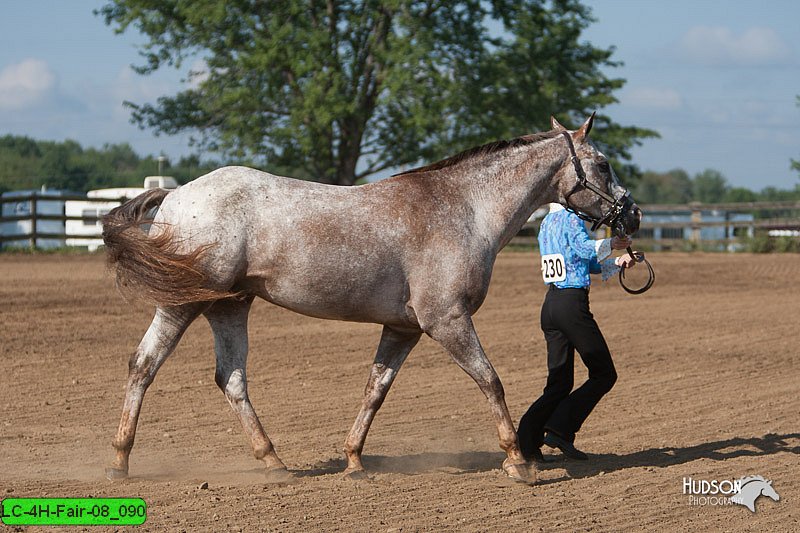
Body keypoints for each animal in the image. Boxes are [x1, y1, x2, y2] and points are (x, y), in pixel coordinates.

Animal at [101, 114, 636, 484]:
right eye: (603, 163)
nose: (630, 215)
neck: (464, 209)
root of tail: (175, 196)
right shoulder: (447, 320)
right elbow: (491, 381)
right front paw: (517, 462)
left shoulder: (403, 329)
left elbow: (375, 390)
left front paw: (354, 460)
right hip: (182, 304)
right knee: (144, 365)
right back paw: (119, 461)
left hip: (229, 306)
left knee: (230, 379)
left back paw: (274, 462)